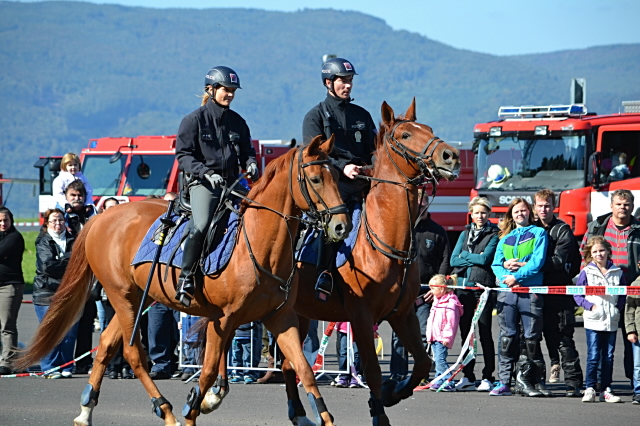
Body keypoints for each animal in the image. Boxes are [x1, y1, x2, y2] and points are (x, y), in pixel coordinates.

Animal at [15, 137, 350, 426]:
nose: (341, 225)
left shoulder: (280, 318)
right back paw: (166, 410)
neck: (258, 244)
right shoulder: (223, 319)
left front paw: (323, 417)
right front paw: (195, 407)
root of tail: (100, 216)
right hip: (122, 297)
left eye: (336, 175)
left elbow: (304, 368)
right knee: (133, 353)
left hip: (137, 299)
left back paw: (86, 412)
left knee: (108, 345)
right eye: (316, 179)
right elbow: (208, 371)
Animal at [282, 100, 458, 426]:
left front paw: (392, 393)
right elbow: (374, 372)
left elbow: (423, 362)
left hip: (298, 314)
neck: (386, 237)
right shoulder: (362, 316)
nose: (450, 156)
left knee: (291, 365)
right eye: (404, 135)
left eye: (428, 129)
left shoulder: (402, 314)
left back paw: (298, 413)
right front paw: (379, 411)